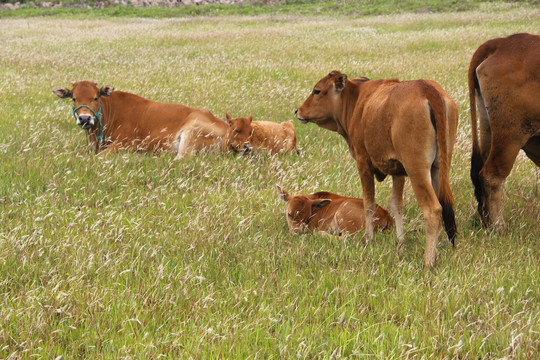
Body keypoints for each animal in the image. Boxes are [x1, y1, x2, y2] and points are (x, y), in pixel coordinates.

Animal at [298, 70, 458, 268]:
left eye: (317, 91)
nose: (298, 111)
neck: (357, 101)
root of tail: (426, 88)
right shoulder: (398, 171)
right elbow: (396, 205)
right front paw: (400, 242)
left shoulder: (363, 163)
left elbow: (369, 204)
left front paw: (369, 239)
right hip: (438, 168)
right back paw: (435, 254)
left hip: (417, 170)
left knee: (434, 210)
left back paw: (428, 262)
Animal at [468, 32, 540, 232]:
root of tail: (502, 43)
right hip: (510, 136)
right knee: (491, 176)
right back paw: (499, 226)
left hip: (488, 128)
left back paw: (486, 221)